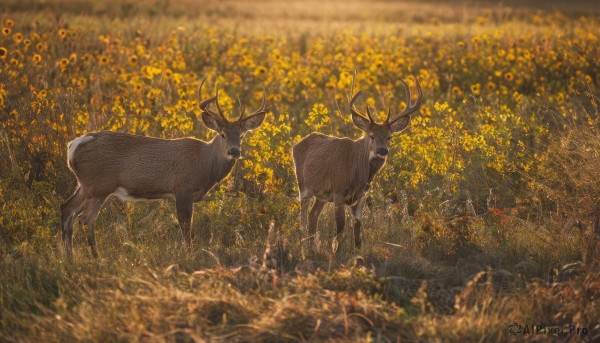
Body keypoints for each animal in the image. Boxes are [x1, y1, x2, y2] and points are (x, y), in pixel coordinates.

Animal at [59, 77, 270, 260]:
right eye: (222, 134)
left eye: (241, 136)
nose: (234, 151)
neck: (204, 163)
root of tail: (73, 146)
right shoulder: (182, 188)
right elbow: (186, 225)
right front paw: (189, 255)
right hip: (99, 185)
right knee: (83, 216)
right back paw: (92, 257)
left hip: (87, 185)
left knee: (69, 210)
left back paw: (72, 258)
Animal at [292, 74, 424, 250]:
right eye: (372, 135)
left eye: (390, 136)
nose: (383, 150)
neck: (357, 173)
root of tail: (296, 145)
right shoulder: (338, 191)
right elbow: (340, 227)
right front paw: (336, 251)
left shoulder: (361, 195)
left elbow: (357, 227)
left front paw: (357, 251)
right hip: (303, 185)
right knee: (303, 217)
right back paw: (303, 246)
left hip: (321, 195)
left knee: (313, 217)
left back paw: (312, 247)